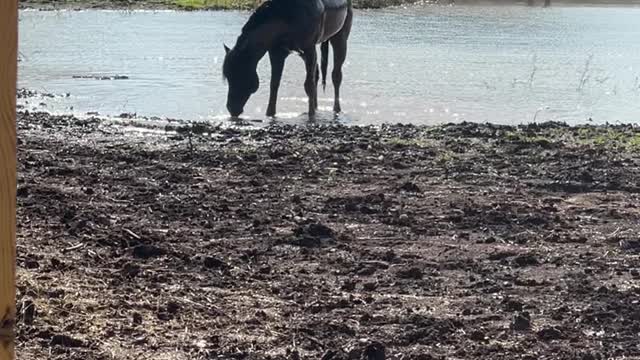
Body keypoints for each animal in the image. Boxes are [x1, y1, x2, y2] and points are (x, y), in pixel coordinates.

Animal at [220, 0, 350, 117]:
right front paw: (270, 114)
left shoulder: (309, 49)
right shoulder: (277, 53)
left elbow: (308, 85)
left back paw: (336, 109)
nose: (231, 108)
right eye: (228, 76)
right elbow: (274, 85)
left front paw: (311, 116)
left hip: (340, 38)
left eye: (240, 74)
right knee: (316, 74)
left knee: (336, 76)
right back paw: (316, 107)